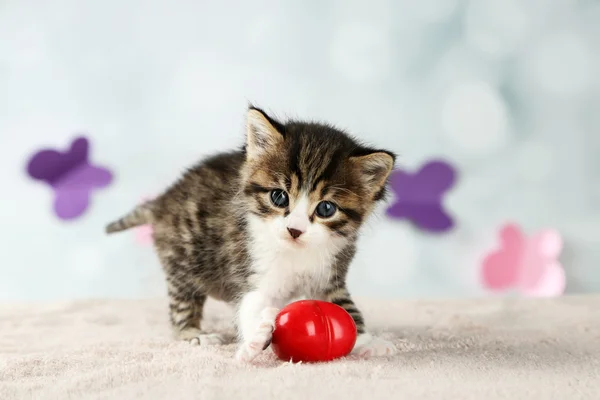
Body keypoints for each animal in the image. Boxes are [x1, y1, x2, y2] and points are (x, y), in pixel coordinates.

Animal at [106, 104, 398, 360]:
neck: (296, 252)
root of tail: (163, 200)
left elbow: (346, 307)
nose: (294, 230)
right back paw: (193, 333)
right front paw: (254, 342)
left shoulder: (331, 273)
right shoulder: (252, 267)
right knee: (182, 302)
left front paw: (368, 340)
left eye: (326, 208)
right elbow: (252, 303)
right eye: (279, 197)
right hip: (182, 262)